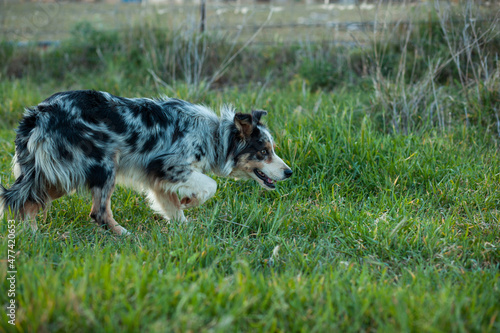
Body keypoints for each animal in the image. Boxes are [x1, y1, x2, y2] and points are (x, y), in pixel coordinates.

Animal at [0, 88, 292, 233]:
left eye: (271, 149)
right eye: (263, 152)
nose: (289, 172)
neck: (214, 135)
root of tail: (38, 114)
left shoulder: (158, 180)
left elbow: (173, 209)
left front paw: (185, 229)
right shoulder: (167, 165)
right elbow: (211, 185)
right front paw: (191, 200)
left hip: (56, 173)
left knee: (25, 200)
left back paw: (32, 235)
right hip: (102, 165)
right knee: (98, 212)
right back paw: (124, 235)